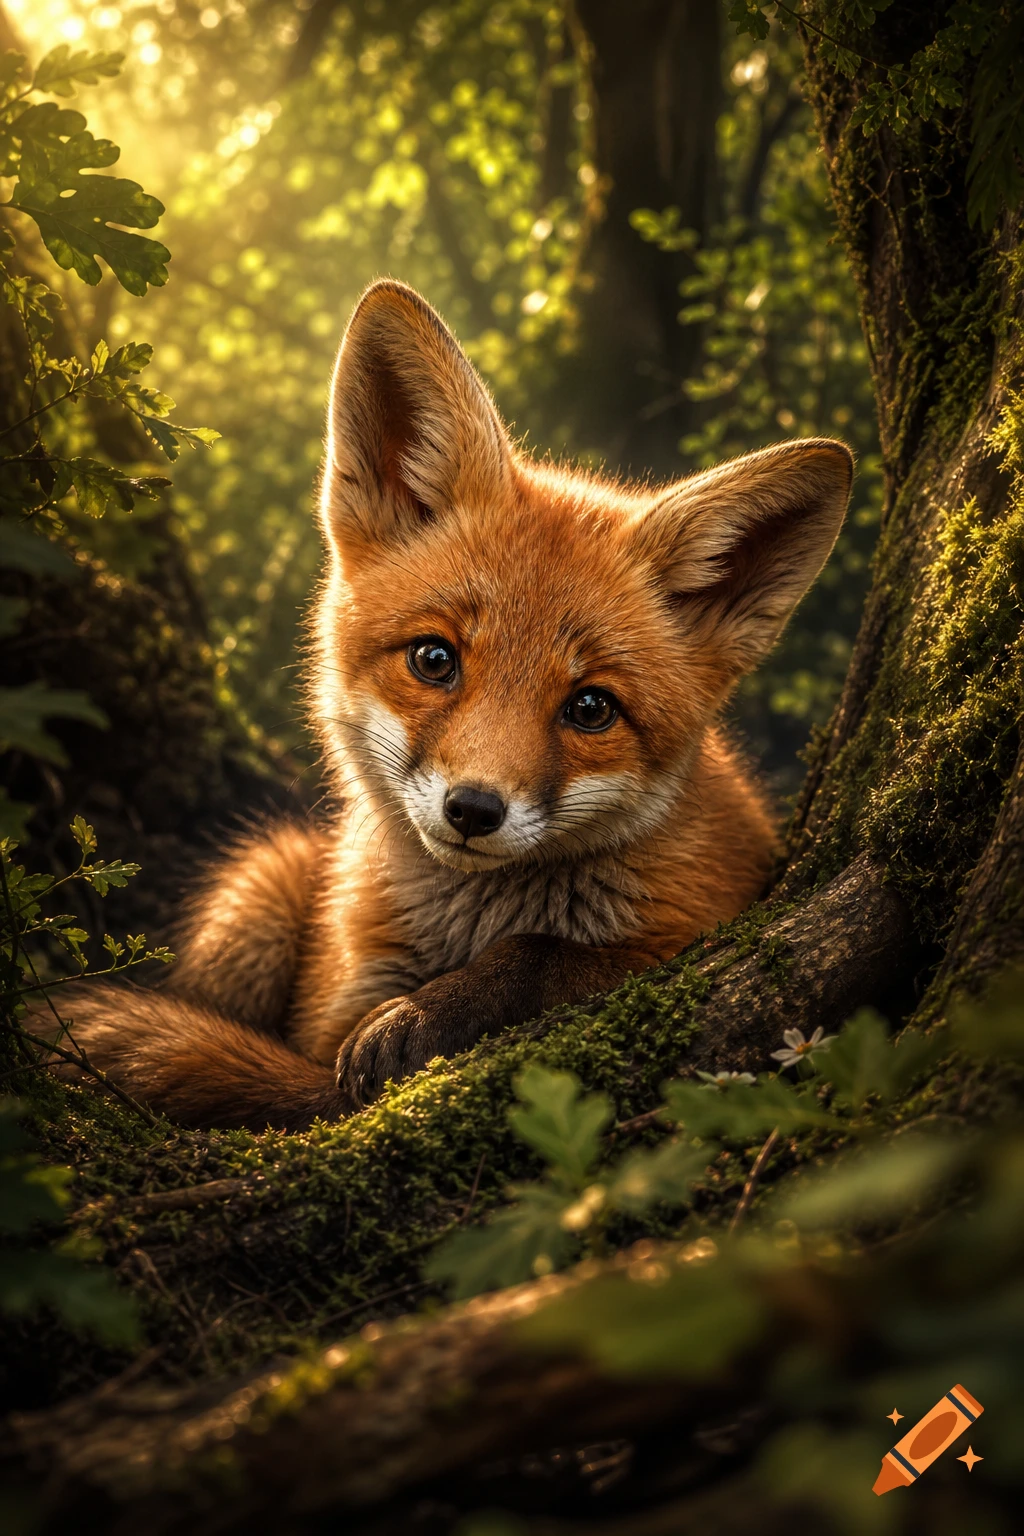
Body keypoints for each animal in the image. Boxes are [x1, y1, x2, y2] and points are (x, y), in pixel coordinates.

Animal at [45, 280, 853, 1131]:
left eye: (591, 708)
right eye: (435, 660)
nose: (473, 809)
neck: (468, 926)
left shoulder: (696, 926)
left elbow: (541, 955)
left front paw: (432, 1013)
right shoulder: (331, 1007)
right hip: (258, 894)